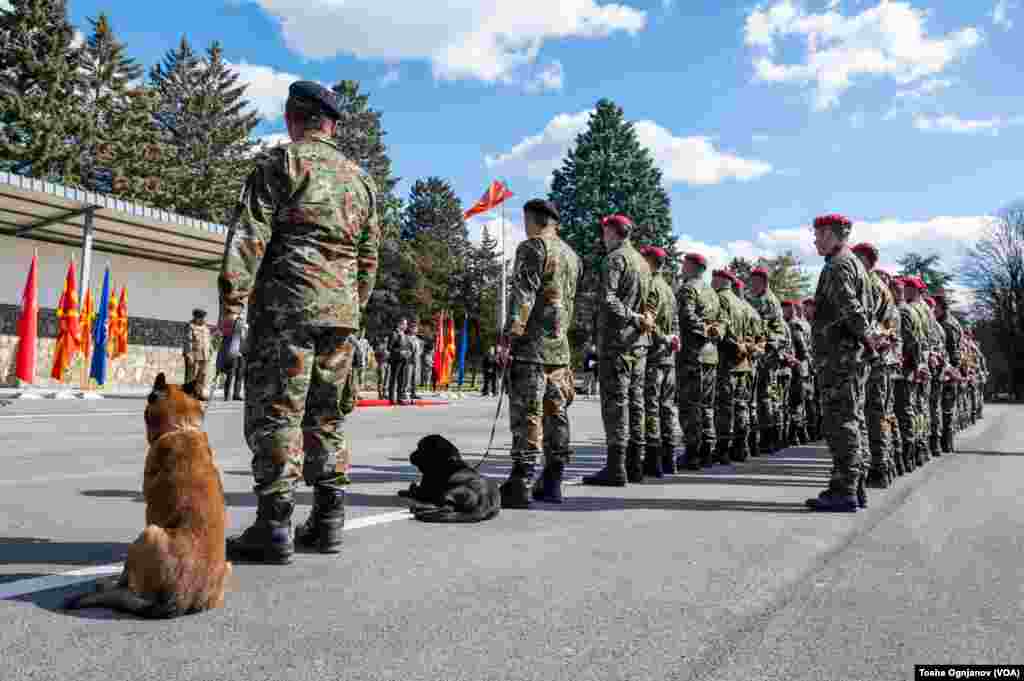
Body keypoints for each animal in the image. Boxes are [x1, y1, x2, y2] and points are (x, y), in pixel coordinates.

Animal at [64, 372, 232, 614]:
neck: (180, 426)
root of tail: (179, 602)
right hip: (228, 566)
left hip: (148, 534)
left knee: (126, 582)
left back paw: (107, 586)